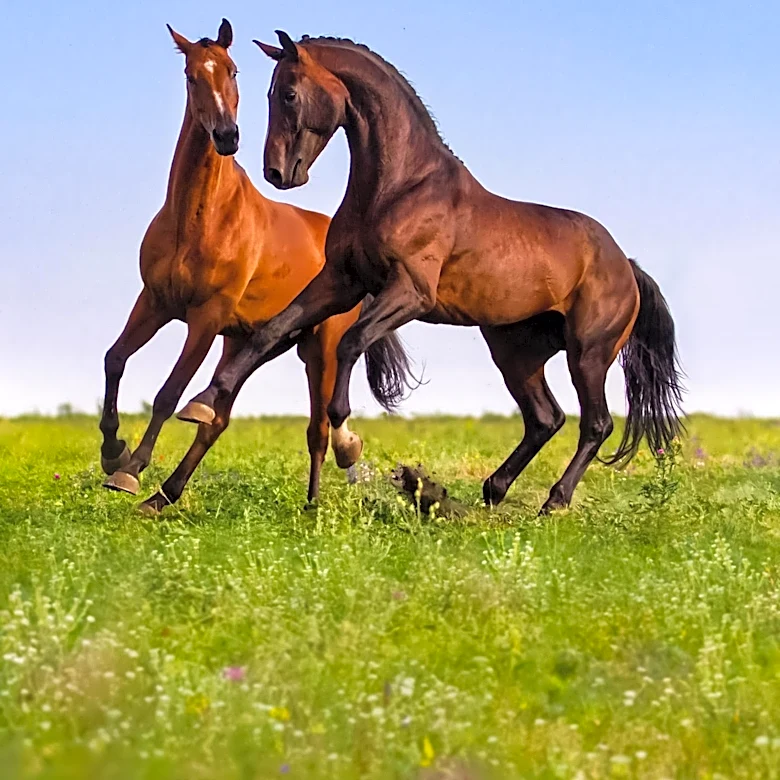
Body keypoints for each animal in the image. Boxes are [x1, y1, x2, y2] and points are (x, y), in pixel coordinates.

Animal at [99, 21, 413, 515]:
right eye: (191, 76)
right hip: (249, 342)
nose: (227, 136)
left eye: (233, 71)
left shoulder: (205, 318)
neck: (199, 218)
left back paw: (319, 492)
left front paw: (129, 472)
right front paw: (113, 453)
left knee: (317, 427)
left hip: (319, 347)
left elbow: (168, 394)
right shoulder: (154, 302)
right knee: (218, 417)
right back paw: (165, 494)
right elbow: (115, 360)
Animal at [179, 31, 684, 514]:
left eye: (287, 94)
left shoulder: (409, 293)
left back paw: (554, 502)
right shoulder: (340, 283)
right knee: (545, 418)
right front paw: (202, 401)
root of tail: (626, 265)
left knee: (595, 423)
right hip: (515, 353)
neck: (400, 186)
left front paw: (348, 443)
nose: (277, 172)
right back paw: (493, 490)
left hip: (588, 353)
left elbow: (351, 342)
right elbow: (269, 333)